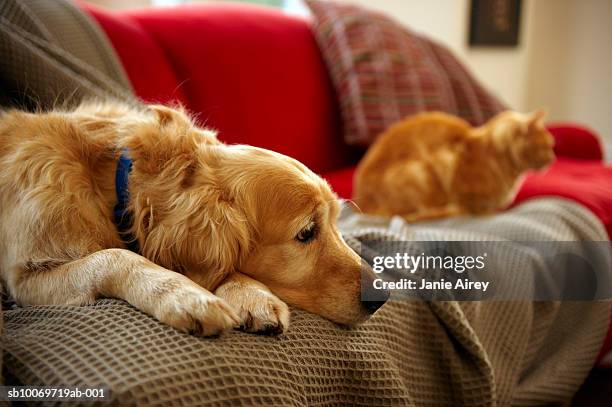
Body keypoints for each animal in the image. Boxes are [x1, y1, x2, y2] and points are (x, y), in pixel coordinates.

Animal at [0, 103, 388, 338]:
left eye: (337, 221)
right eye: (307, 232)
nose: (383, 296)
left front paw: (251, 295)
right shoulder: (26, 278)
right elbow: (115, 256)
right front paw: (185, 296)